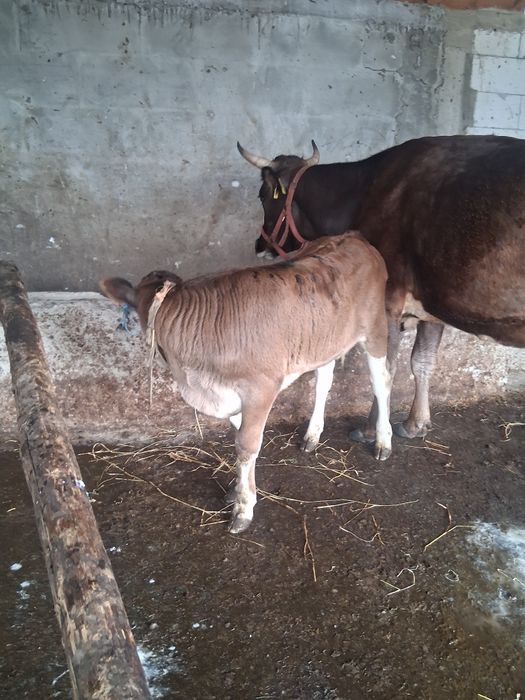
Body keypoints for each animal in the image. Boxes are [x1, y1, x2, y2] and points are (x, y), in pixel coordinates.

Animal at [100, 232, 391, 534]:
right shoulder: (230, 395)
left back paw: (383, 441)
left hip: (375, 330)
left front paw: (243, 507)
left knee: (381, 382)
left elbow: (246, 444)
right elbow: (240, 440)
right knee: (324, 381)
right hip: (325, 340)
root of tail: (354, 237)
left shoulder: (261, 388)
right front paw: (237, 488)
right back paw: (312, 435)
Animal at [238, 135, 525, 445]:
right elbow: (422, 362)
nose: (258, 245)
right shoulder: (431, 305)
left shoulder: (387, 300)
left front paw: (370, 431)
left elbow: (384, 369)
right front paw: (415, 423)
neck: (364, 193)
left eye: (262, 196)